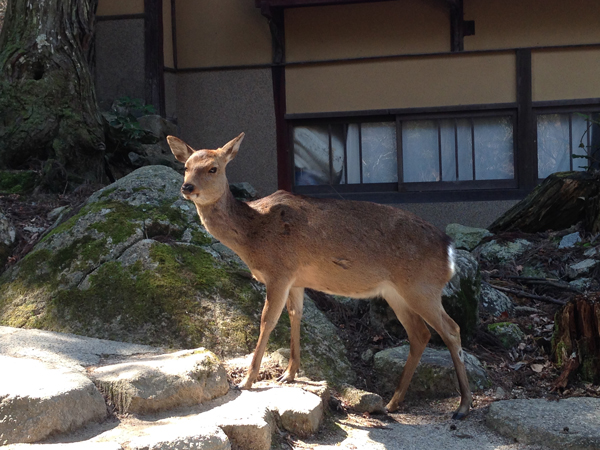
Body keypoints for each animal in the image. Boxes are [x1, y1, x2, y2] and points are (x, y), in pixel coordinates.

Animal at [168, 132, 474, 420]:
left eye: (213, 168)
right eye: (186, 166)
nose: (187, 187)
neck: (253, 234)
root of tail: (449, 251)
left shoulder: (279, 272)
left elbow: (267, 320)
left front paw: (247, 380)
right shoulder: (296, 279)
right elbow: (295, 315)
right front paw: (289, 374)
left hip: (422, 286)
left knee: (451, 329)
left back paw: (462, 406)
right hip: (396, 292)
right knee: (420, 334)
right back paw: (392, 402)